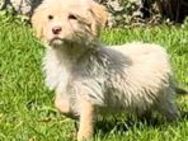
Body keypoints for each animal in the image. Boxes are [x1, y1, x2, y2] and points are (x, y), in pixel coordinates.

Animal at [32, 0, 179, 140]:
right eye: (50, 17)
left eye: (72, 17)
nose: (55, 29)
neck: (69, 56)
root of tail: (160, 51)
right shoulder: (63, 86)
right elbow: (60, 104)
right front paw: (72, 112)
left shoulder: (89, 90)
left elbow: (86, 120)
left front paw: (83, 136)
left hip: (162, 97)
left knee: (172, 112)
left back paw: (175, 124)